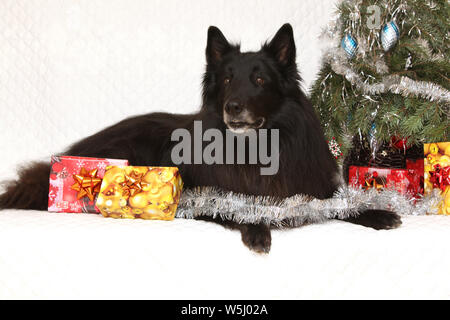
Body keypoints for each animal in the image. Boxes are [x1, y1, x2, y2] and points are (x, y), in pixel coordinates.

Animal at [0, 24, 400, 252]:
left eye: (259, 79)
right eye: (226, 79)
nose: (233, 107)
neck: (255, 146)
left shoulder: (311, 185)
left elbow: (342, 202)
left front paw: (377, 213)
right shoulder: (207, 194)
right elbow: (239, 206)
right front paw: (257, 229)